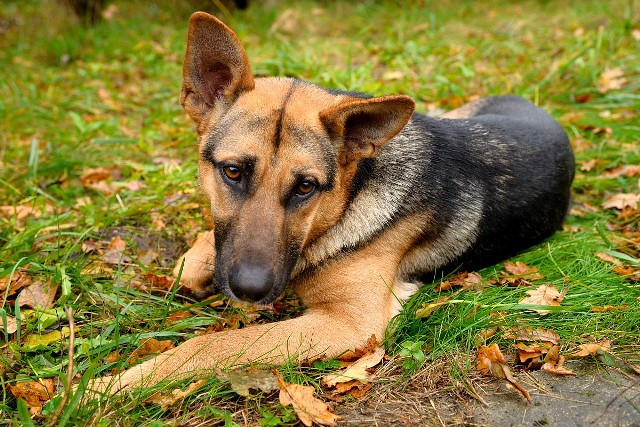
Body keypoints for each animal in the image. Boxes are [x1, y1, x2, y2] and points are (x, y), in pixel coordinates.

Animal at [91, 11, 576, 392]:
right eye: (232, 171)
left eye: (306, 186)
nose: (250, 290)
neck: (350, 196)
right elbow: (198, 252)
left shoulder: (348, 322)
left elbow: (213, 344)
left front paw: (113, 385)